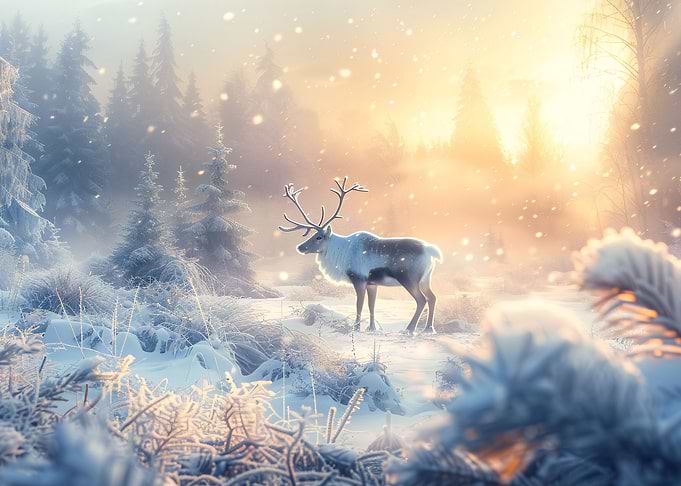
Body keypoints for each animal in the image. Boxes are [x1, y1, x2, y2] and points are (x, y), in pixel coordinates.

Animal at [279, 177, 443, 335]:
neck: (341, 253)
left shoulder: (358, 279)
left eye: (318, 237)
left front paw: (356, 328)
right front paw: (371, 328)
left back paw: (410, 329)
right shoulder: (372, 283)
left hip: (409, 278)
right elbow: (372, 305)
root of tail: (430, 250)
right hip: (425, 279)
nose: (300, 247)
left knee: (421, 300)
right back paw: (429, 329)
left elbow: (359, 304)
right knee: (433, 297)